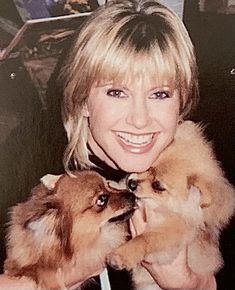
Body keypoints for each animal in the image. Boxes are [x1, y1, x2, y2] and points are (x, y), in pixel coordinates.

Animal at [107, 120, 234, 290]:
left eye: (158, 186)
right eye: (148, 166)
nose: (131, 183)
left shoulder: (170, 232)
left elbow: (144, 239)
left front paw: (121, 256)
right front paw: (115, 187)